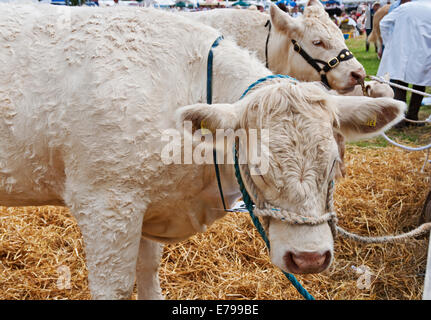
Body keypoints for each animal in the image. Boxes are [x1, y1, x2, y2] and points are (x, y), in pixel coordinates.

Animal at [0, 4, 404, 300]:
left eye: (335, 164)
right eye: (318, 41)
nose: (308, 258)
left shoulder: (147, 202)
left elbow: (148, 274)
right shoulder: (106, 204)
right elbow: (114, 287)